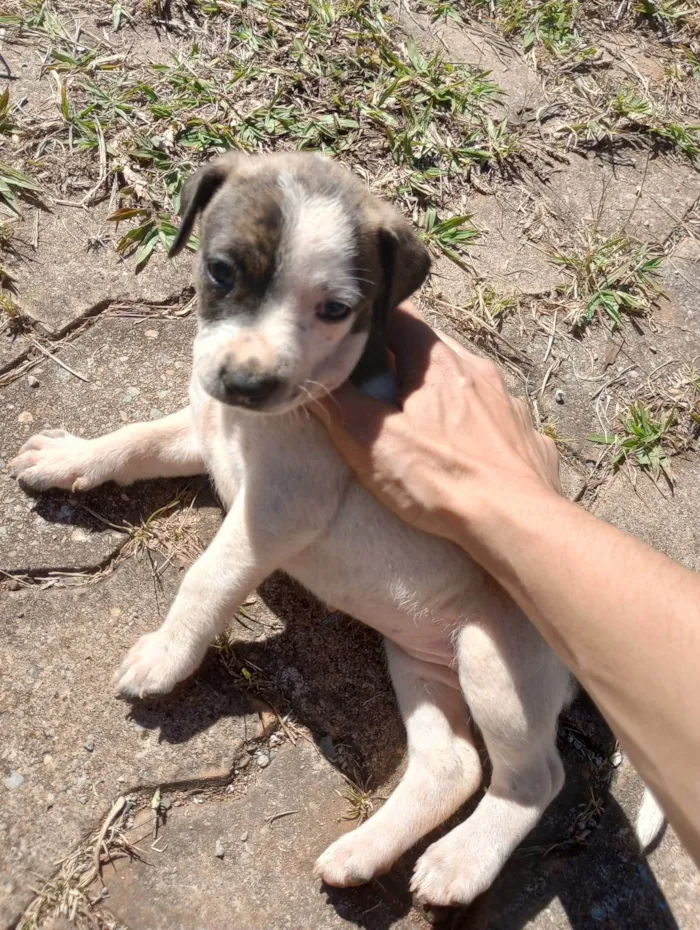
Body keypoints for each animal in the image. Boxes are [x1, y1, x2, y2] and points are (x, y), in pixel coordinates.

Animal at [8, 154, 660, 908]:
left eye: (336, 310)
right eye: (221, 271)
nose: (246, 382)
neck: (262, 419)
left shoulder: (278, 511)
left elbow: (206, 578)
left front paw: (167, 657)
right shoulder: (206, 432)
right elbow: (134, 440)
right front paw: (69, 458)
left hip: (496, 661)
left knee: (533, 778)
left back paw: (460, 862)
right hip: (420, 658)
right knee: (452, 766)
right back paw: (364, 853)